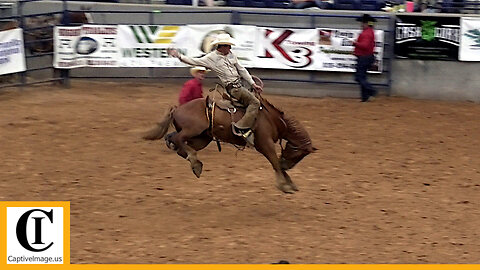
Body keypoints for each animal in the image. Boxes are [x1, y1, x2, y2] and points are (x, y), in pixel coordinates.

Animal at [142, 93, 316, 194]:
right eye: (298, 154)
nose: (288, 165)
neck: (271, 118)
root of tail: (177, 108)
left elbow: (277, 163)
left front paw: (290, 183)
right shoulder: (264, 144)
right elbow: (275, 162)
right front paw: (284, 185)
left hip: (202, 138)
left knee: (176, 142)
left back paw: (195, 163)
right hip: (193, 130)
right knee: (178, 140)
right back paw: (195, 162)